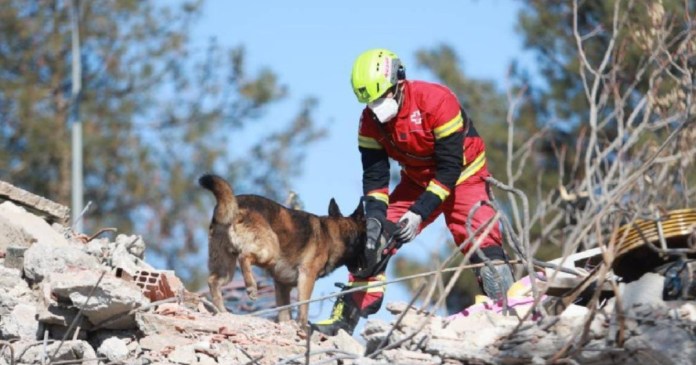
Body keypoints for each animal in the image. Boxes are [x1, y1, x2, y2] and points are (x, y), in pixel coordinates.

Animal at [198, 173, 368, 324]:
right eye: (366, 239)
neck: (335, 233)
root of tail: (235, 203)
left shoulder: (282, 285)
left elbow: (284, 313)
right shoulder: (307, 276)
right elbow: (303, 310)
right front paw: (302, 329)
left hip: (226, 268)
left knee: (213, 280)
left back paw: (222, 312)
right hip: (270, 252)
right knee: (244, 256)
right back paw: (251, 287)